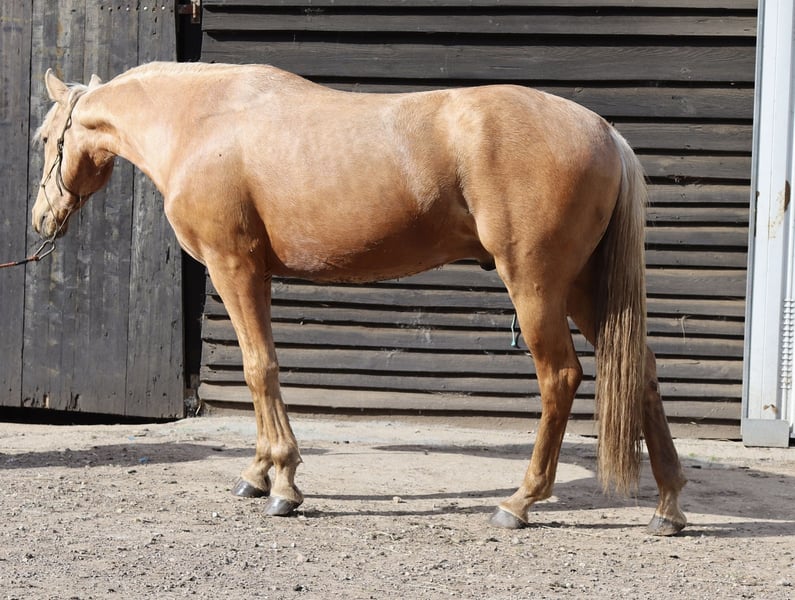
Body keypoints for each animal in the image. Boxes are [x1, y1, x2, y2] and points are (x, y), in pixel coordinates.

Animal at [32, 62, 686, 535]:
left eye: (43, 137)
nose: (40, 219)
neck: (202, 121)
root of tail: (605, 133)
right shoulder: (256, 275)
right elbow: (260, 368)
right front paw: (258, 474)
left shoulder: (232, 266)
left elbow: (259, 368)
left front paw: (284, 486)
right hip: (583, 287)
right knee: (642, 370)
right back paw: (668, 508)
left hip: (537, 284)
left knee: (561, 377)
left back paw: (519, 502)